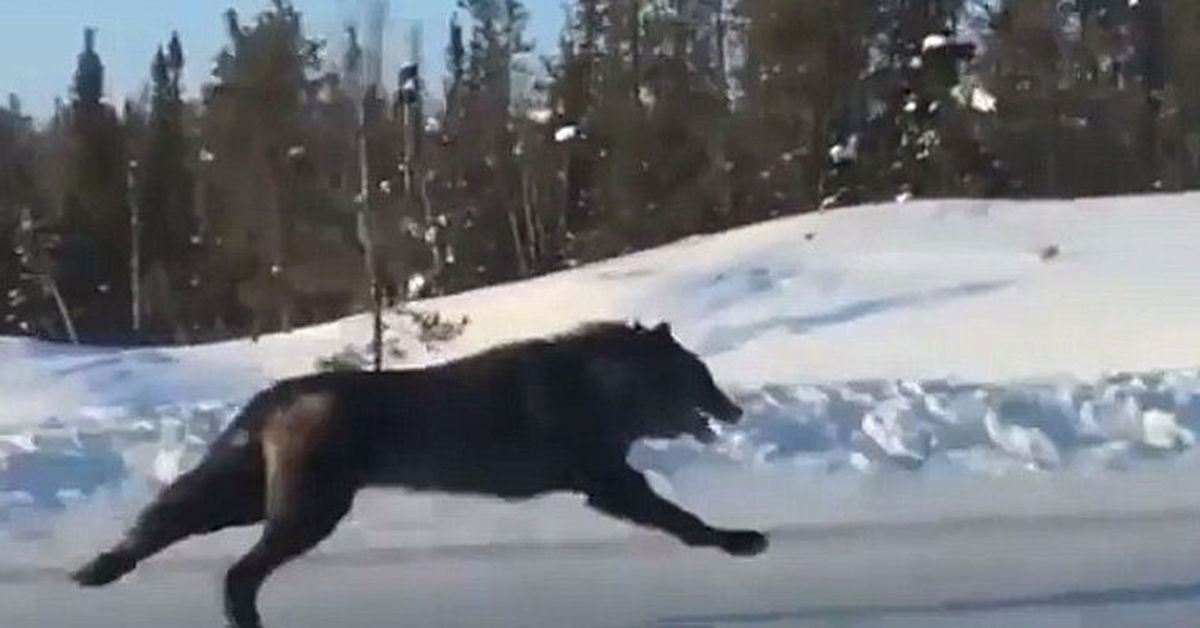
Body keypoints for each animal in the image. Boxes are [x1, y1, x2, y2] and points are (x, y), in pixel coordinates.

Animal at [70, 321, 767, 628]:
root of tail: (276, 396)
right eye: (699, 372)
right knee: (237, 566)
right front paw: (743, 540)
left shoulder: (605, 476)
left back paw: (97, 568)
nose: (735, 408)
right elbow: (680, 519)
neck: (607, 390)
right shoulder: (605, 477)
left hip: (251, 491)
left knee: (174, 515)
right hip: (310, 504)